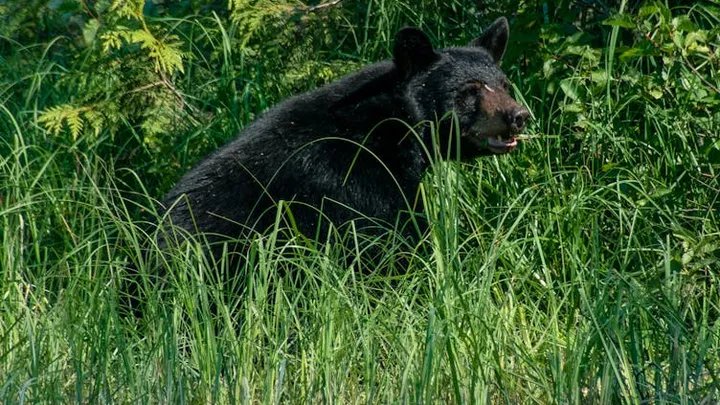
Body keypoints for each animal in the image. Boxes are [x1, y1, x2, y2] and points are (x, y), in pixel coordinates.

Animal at [159, 17, 530, 262]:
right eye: (469, 91)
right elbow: (392, 239)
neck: (391, 126)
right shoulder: (355, 179)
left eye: (505, 85)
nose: (519, 115)